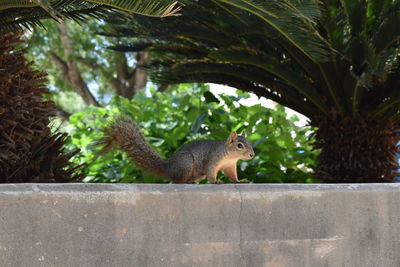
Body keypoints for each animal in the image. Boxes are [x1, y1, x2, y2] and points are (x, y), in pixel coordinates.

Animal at [99, 117, 256, 184]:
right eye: (240, 145)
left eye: (249, 143)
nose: (252, 154)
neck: (229, 156)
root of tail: (168, 168)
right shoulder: (211, 160)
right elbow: (211, 172)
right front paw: (216, 181)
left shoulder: (230, 166)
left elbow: (233, 176)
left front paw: (240, 181)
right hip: (186, 162)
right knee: (176, 181)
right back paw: (185, 182)